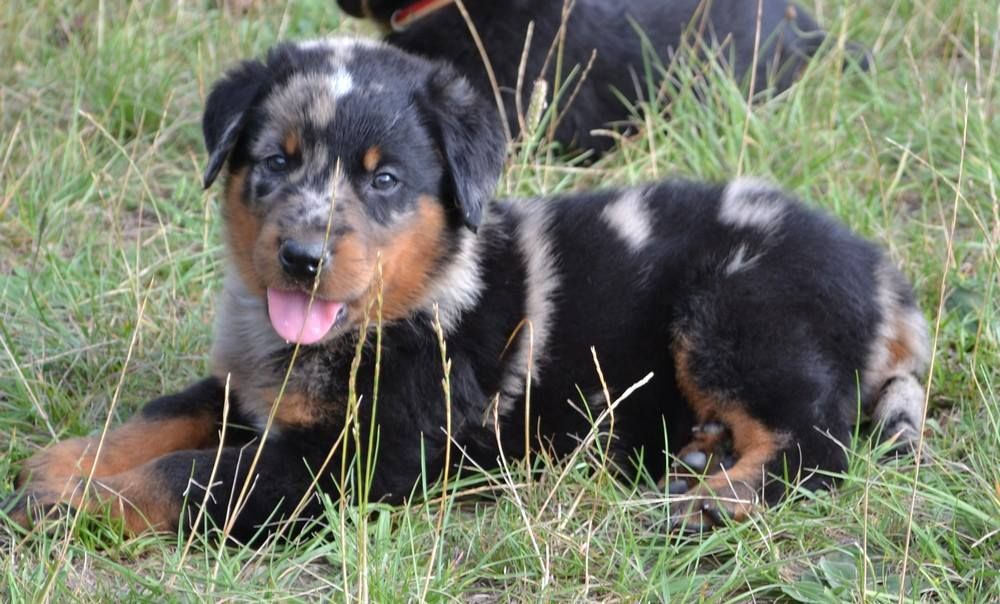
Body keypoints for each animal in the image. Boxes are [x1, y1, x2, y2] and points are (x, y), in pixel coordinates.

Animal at [9, 37, 928, 536]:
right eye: (275, 161)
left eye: (383, 181)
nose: (303, 256)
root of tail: (881, 272)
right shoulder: (252, 387)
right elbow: (166, 414)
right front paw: (64, 466)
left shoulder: (358, 459)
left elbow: (195, 475)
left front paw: (73, 504)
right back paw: (703, 455)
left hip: (733, 312)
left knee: (817, 444)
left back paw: (708, 501)